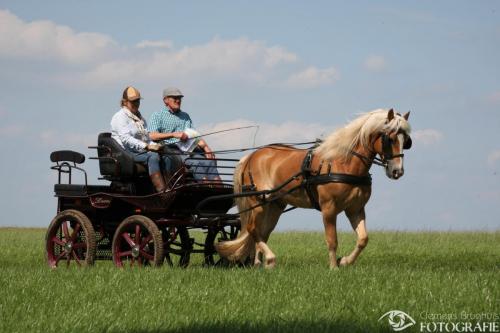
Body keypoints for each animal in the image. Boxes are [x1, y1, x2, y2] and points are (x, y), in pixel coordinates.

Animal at [215, 109, 410, 268]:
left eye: (406, 141)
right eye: (390, 138)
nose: (397, 171)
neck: (343, 163)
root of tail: (252, 155)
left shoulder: (355, 209)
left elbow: (363, 239)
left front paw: (344, 261)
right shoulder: (329, 208)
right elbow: (332, 240)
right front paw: (333, 267)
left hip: (275, 205)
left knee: (263, 232)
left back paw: (259, 263)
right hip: (257, 201)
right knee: (253, 229)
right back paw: (270, 259)